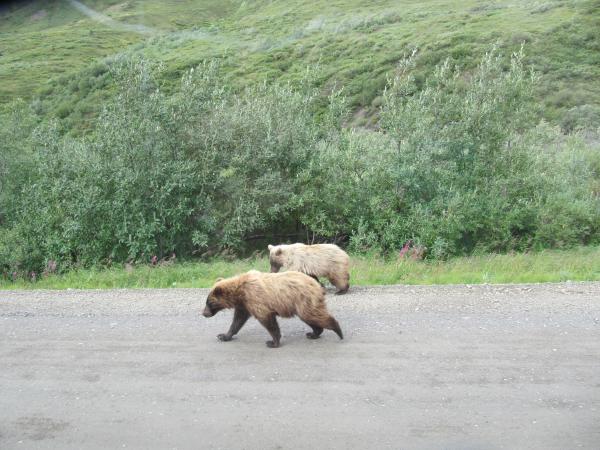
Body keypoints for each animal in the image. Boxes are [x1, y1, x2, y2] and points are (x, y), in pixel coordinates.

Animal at [202, 270, 342, 348]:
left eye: (209, 302)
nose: (204, 313)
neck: (239, 292)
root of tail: (317, 284)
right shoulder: (244, 304)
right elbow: (237, 320)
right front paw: (223, 335)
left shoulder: (256, 299)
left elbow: (267, 319)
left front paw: (272, 342)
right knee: (310, 317)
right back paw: (313, 333)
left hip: (304, 299)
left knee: (313, 315)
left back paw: (338, 331)